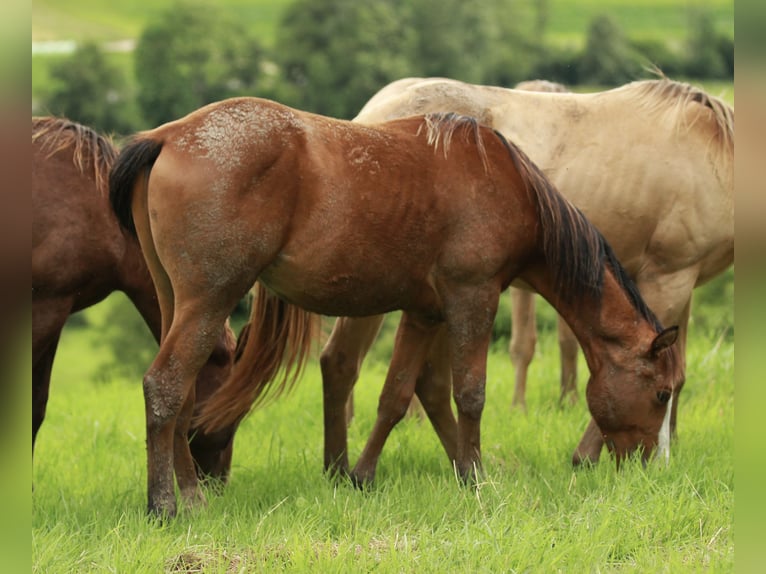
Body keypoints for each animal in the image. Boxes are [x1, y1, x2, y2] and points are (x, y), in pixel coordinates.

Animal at [108, 97, 684, 520]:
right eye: (661, 393)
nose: (650, 469)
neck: (507, 185)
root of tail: (168, 137)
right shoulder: (474, 298)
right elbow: (469, 393)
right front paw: (476, 477)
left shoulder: (425, 313)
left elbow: (399, 393)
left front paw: (369, 475)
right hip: (209, 302)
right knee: (165, 387)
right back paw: (167, 504)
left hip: (177, 304)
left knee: (183, 396)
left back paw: (190, 496)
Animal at [320, 76, 736, 470]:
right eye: (657, 396)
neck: (710, 151)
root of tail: (368, 116)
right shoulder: (668, 278)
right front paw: (588, 455)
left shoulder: (683, 284)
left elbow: (678, 369)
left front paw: (672, 442)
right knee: (346, 361)